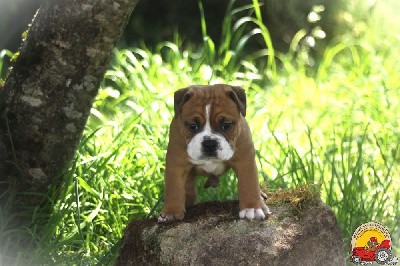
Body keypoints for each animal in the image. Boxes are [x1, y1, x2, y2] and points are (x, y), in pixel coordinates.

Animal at [158, 84, 270, 221]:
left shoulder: (245, 160)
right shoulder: (176, 164)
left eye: (226, 125)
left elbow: (249, 183)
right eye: (192, 126)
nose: (209, 143)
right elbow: (174, 188)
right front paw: (171, 212)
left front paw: (252, 207)